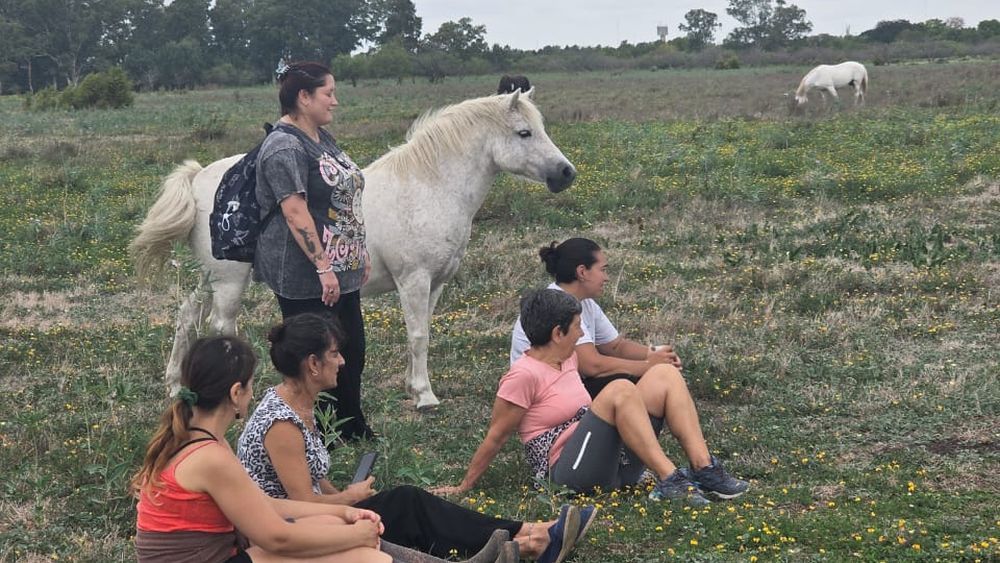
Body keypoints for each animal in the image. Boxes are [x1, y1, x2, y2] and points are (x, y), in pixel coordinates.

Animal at [130, 89, 576, 409]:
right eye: (524, 133)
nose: (566, 173)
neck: (428, 187)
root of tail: (198, 177)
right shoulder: (414, 281)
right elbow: (418, 335)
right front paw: (425, 396)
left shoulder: (436, 284)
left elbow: (423, 333)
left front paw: (415, 388)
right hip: (228, 281)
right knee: (221, 326)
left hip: (208, 279)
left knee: (187, 317)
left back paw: (176, 386)